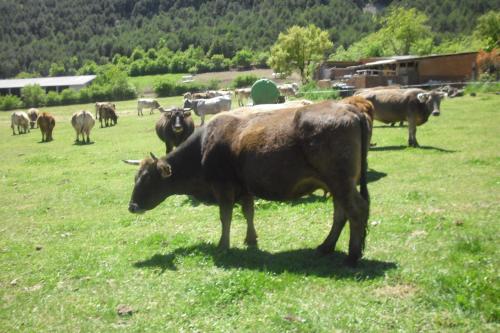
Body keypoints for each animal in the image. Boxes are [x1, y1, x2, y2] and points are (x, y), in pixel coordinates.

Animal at [124, 98, 374, 264]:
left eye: (147, 179)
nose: (132, 206)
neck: (204, 146)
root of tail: (351, 109)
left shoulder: (223, 188)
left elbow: (225, 217)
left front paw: (223, 245)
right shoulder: (244, 188)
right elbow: (248, 212)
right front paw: (251, 239)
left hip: (341, 182)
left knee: (356, 210)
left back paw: (352, 256)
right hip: (337, 185)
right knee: (340, 214)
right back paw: (326, 246)